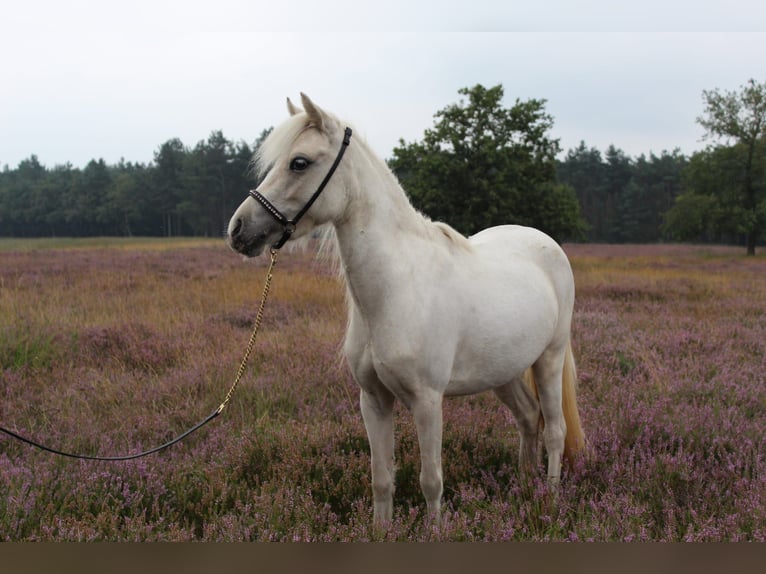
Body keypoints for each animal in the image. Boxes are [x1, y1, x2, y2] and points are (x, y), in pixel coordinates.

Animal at [228, 94, 588, 528]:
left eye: (299, 162)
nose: (238, 230)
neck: (395, 290)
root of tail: (546, 244)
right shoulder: (373, 400)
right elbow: (381, 479)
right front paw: (381, 531)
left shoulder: (427, 401)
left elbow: (431, 480)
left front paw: (435, 530)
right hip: (503, 370)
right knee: (528, 417)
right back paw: (523, 488)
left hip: (549, 358)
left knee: (554, 429)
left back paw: (547, 503)